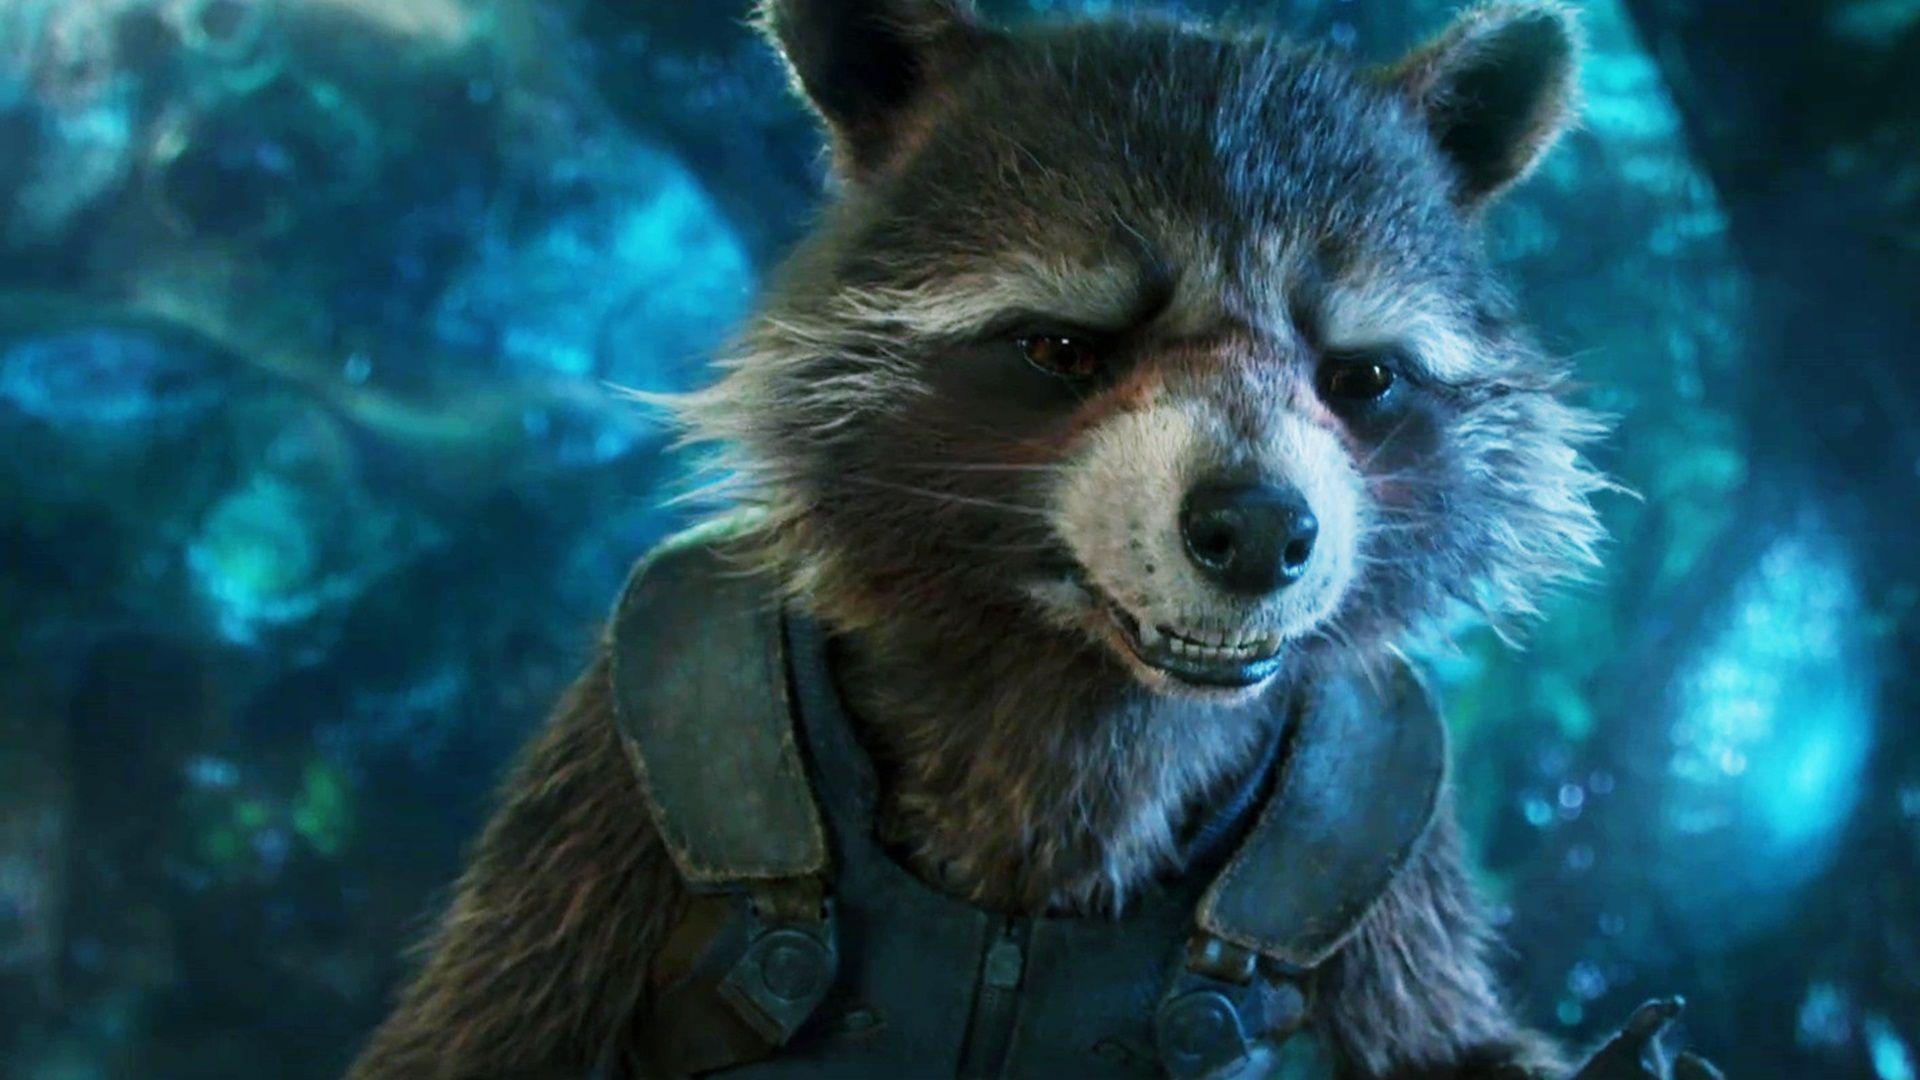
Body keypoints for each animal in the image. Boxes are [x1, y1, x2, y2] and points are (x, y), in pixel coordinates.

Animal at [352, 2, 1711, 1078]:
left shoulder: (1384, 810)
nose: (1261, 531)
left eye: (1359, 378)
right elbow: (487, 1029)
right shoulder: (630, 740)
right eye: (1064, 348)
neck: (1081, 672)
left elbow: (1441, 1033)